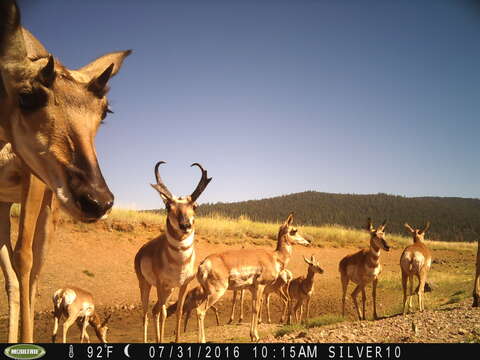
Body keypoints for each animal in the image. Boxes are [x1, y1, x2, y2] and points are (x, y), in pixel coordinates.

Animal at [0, 0, 129, 344]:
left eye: (104, 110)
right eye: (27, 95)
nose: (98, 202)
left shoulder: (33, 183)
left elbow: (24, 259)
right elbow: (15, 266)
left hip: (47, 209)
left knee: (32, 271)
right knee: (15, 276)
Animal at [134, 162, 211, 342]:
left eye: (194, 206)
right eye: (168, 206)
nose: (185, 225)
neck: (179, 262)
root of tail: (140, 252)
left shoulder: (183, 285)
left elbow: (179, 312)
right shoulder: (161, 284)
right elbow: (160, 314)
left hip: (168, 290)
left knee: (158, 310)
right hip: (146, 285)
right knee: (147, 314)